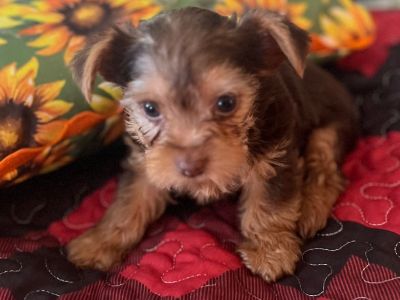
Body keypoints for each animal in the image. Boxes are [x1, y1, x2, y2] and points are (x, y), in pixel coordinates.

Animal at [67, 7, 358, 282]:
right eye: (150, 108)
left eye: (226, 103)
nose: (190, 166)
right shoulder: (146, 162)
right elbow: (129, 200)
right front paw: (98, 242)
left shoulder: (276, 154)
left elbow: (269, 204)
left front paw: (270, 250)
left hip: (332, 125)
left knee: (326, 169)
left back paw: (310, 208)